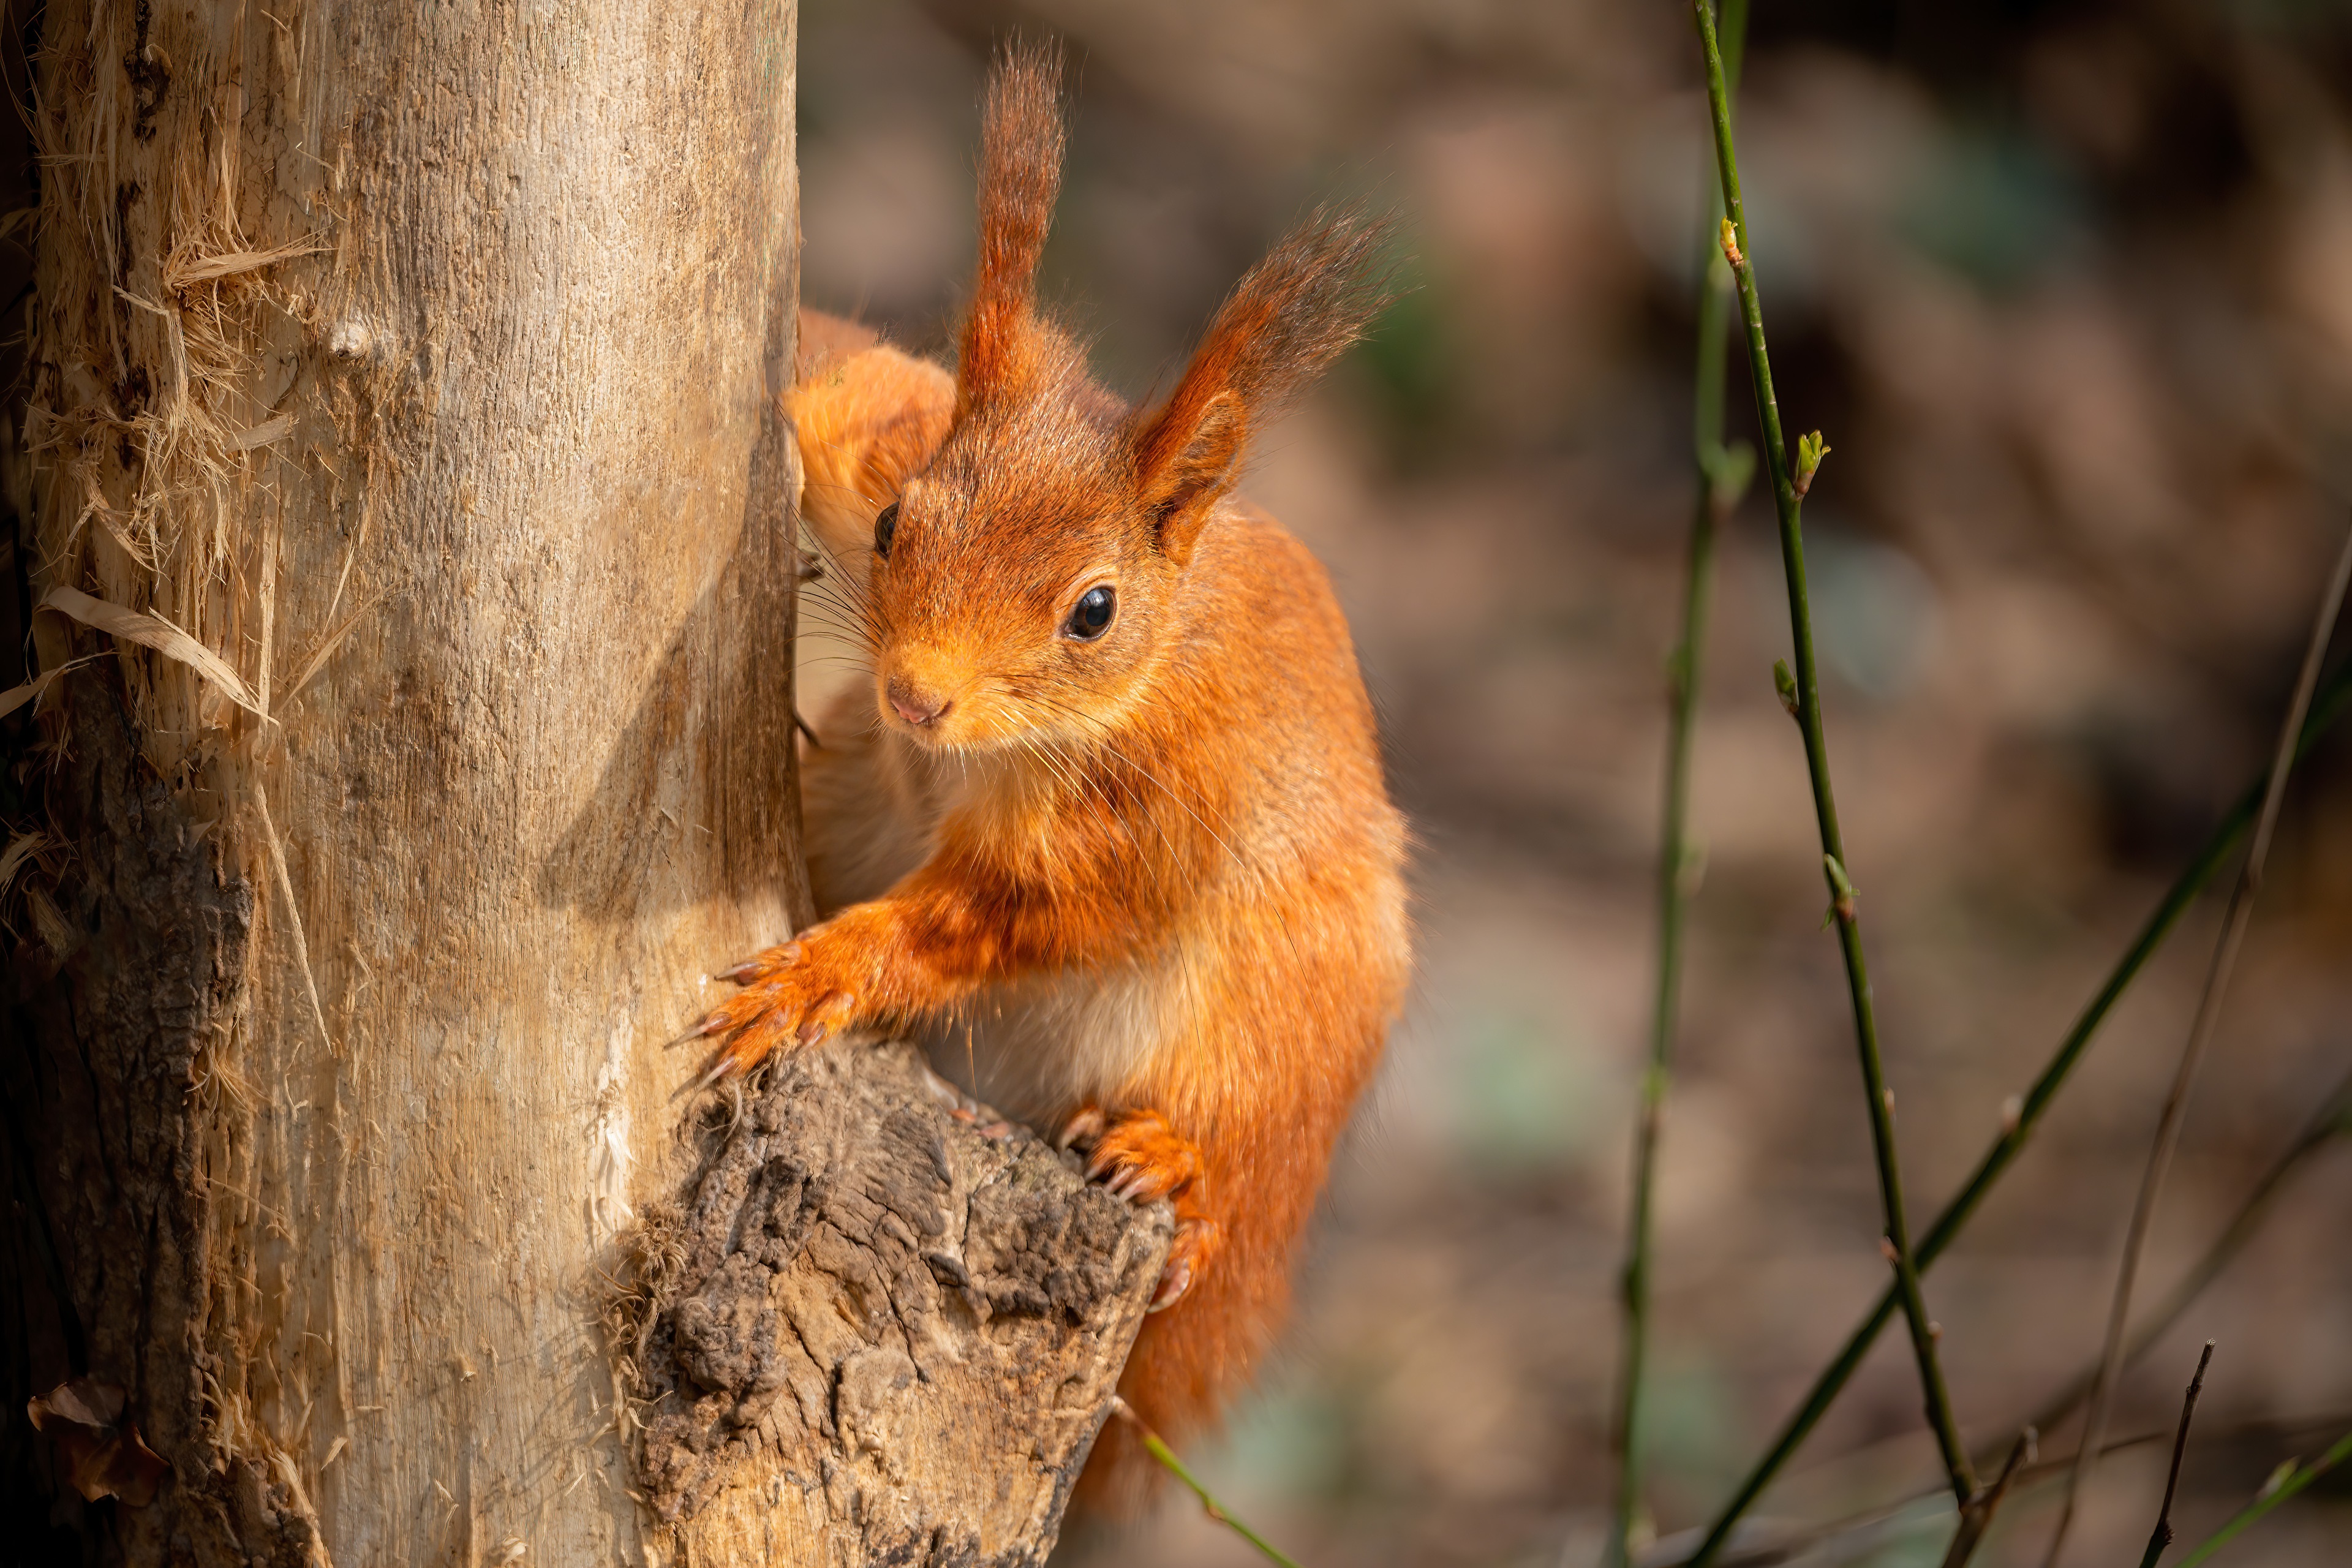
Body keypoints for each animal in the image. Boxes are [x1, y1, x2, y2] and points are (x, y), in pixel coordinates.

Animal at [680, 43, 1410, 1513]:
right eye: (895, 523)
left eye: (1094, 611)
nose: (915, 694)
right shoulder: (870, 431)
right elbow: (842, 379)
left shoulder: (1148, 815)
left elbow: (1006, 914)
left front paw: (815, 977)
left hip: (1289, 1020)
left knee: (1238, 1158)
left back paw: (1173, 1169)